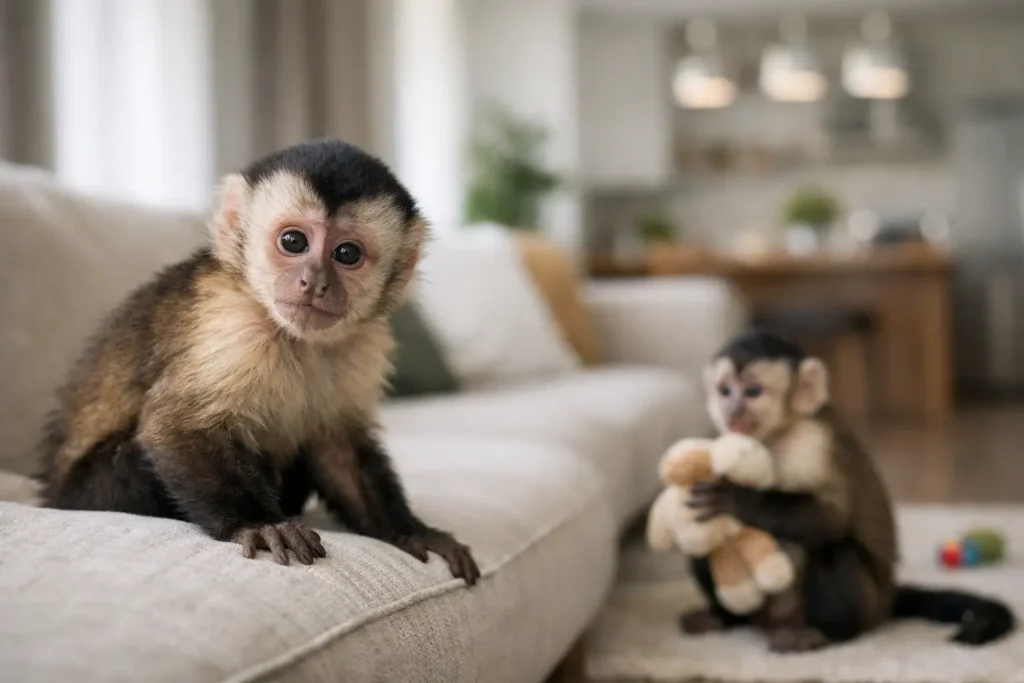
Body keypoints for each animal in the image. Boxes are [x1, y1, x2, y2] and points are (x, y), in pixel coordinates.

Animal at [37, 138, 480, 585]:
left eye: (347, 253)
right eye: (294, 242)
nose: (314, 282)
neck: (295, 338)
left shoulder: (362, 345)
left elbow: (338, 447)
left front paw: (411, 531)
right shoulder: (233, 325)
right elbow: (176, 425)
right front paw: (261, 524)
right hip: (95, 491)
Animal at [680, 329, 1013, 652]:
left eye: (753, 391)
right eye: (724, 390)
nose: (732, 410)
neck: (772, 437)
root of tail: (887, 599)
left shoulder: (811, 441)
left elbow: (830, 518)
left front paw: (739, 500)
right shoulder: (718, 435)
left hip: (866, 608)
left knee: (836, 549)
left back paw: (824, 634)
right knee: (703, 549)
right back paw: (725, 618)